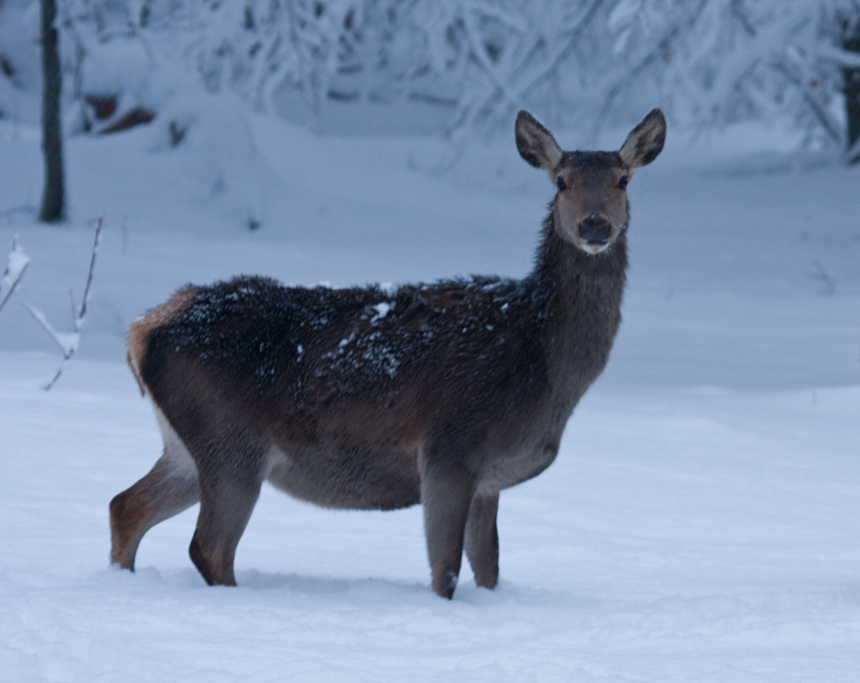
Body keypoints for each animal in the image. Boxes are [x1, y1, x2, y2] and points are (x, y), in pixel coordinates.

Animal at [111, 108, 668, 600]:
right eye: (561, 181)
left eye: (623, 180)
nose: (594, 226)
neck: (542, 365)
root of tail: (141, 329)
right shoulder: (451, 447)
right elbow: (445, 572)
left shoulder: (490, 479)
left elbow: (489, 570)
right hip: (229, 439)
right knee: (208, 547)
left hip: (188, 445)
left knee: (125, 507)